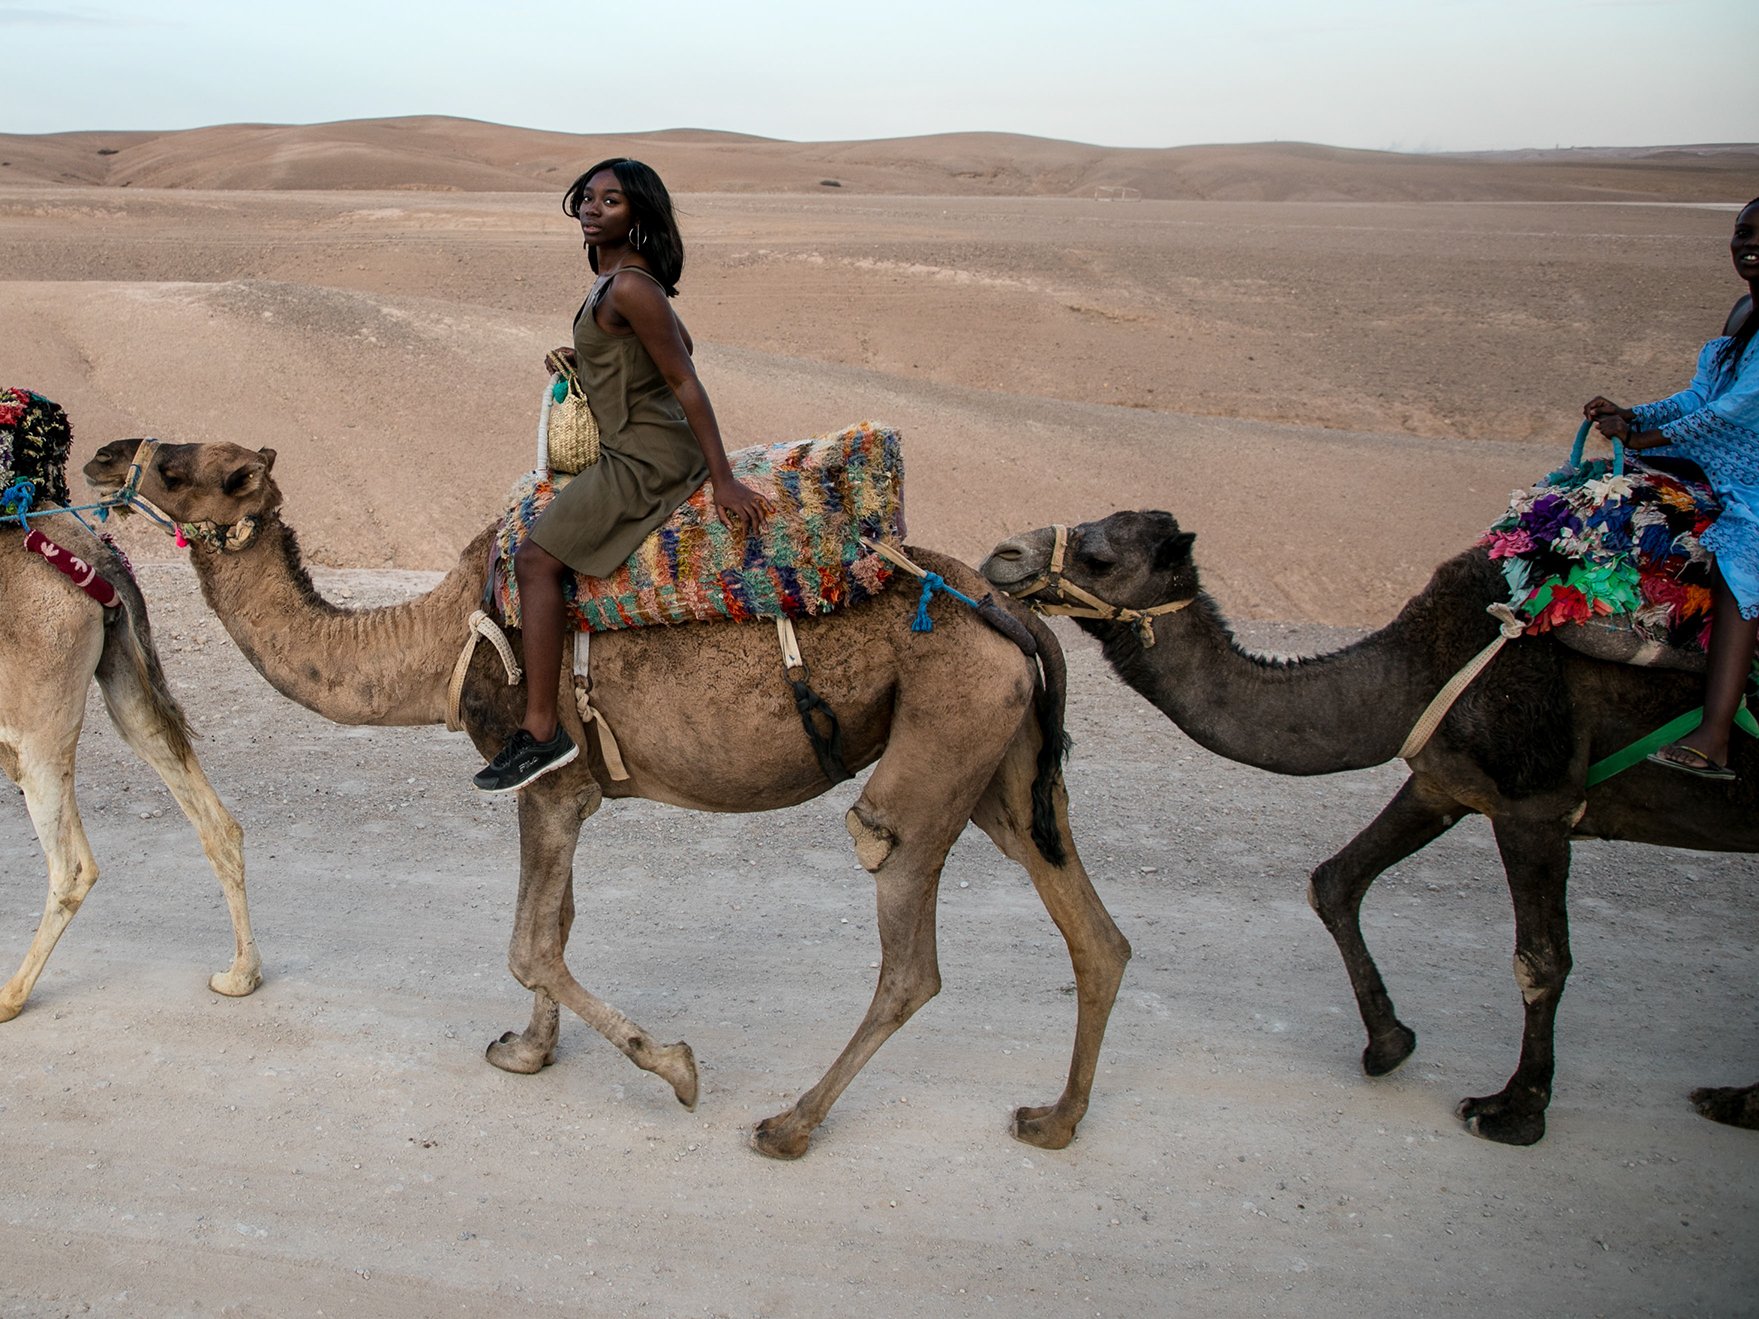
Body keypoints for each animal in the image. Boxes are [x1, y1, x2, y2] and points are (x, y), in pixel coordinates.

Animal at [0, 510, 260, 1020]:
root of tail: (98, 558)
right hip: (122, 682)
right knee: (217, 824)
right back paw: (241, 974)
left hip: (32, 721)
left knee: (71, 868)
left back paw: (11, 996)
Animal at [85, 441, 1125, 1153]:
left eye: (181, 466)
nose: (100, 455)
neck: (437, 642)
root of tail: (1012, 612)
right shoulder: (573, 787)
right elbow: (560, 923)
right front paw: (529, 1051)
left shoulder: (538, 773)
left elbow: (528, 943)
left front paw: (674, 1067)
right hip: (999, 762)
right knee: (1092, 931)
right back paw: (1055, 1117)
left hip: (942, 743)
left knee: (906, 935)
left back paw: (787, 1123)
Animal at [985, 510, 1751, 1153]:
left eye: (1100, 556)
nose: (1003, 554)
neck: (1418, 670)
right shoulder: (1443, 781)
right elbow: (1335, 881)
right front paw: (1389, 1043)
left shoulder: (1533, 804)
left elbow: (1541, 961)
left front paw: (1512, 1111)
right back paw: (1737, 1101)